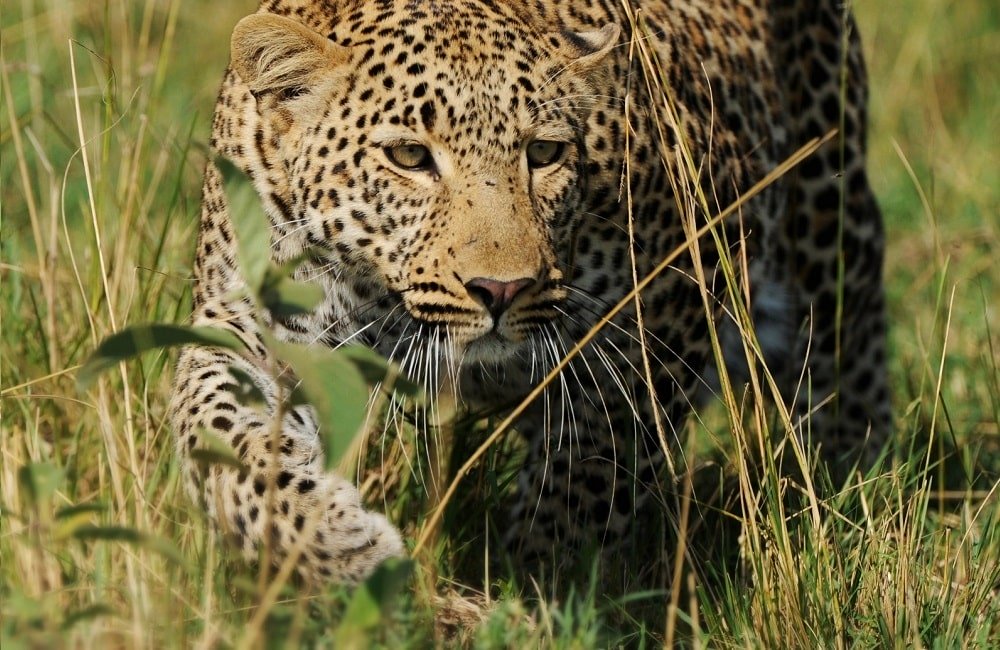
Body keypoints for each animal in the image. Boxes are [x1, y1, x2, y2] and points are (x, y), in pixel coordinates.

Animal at [170, 0, 890, 585]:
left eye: (543, 154)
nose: (501, 289)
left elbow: (594, 470)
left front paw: (539, 587)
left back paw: (856, 485)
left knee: (848, 354)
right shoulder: (252, 326)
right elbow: (218, 424)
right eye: (409, 157)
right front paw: (333, 547)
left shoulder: (663, 317)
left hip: (829, 216)